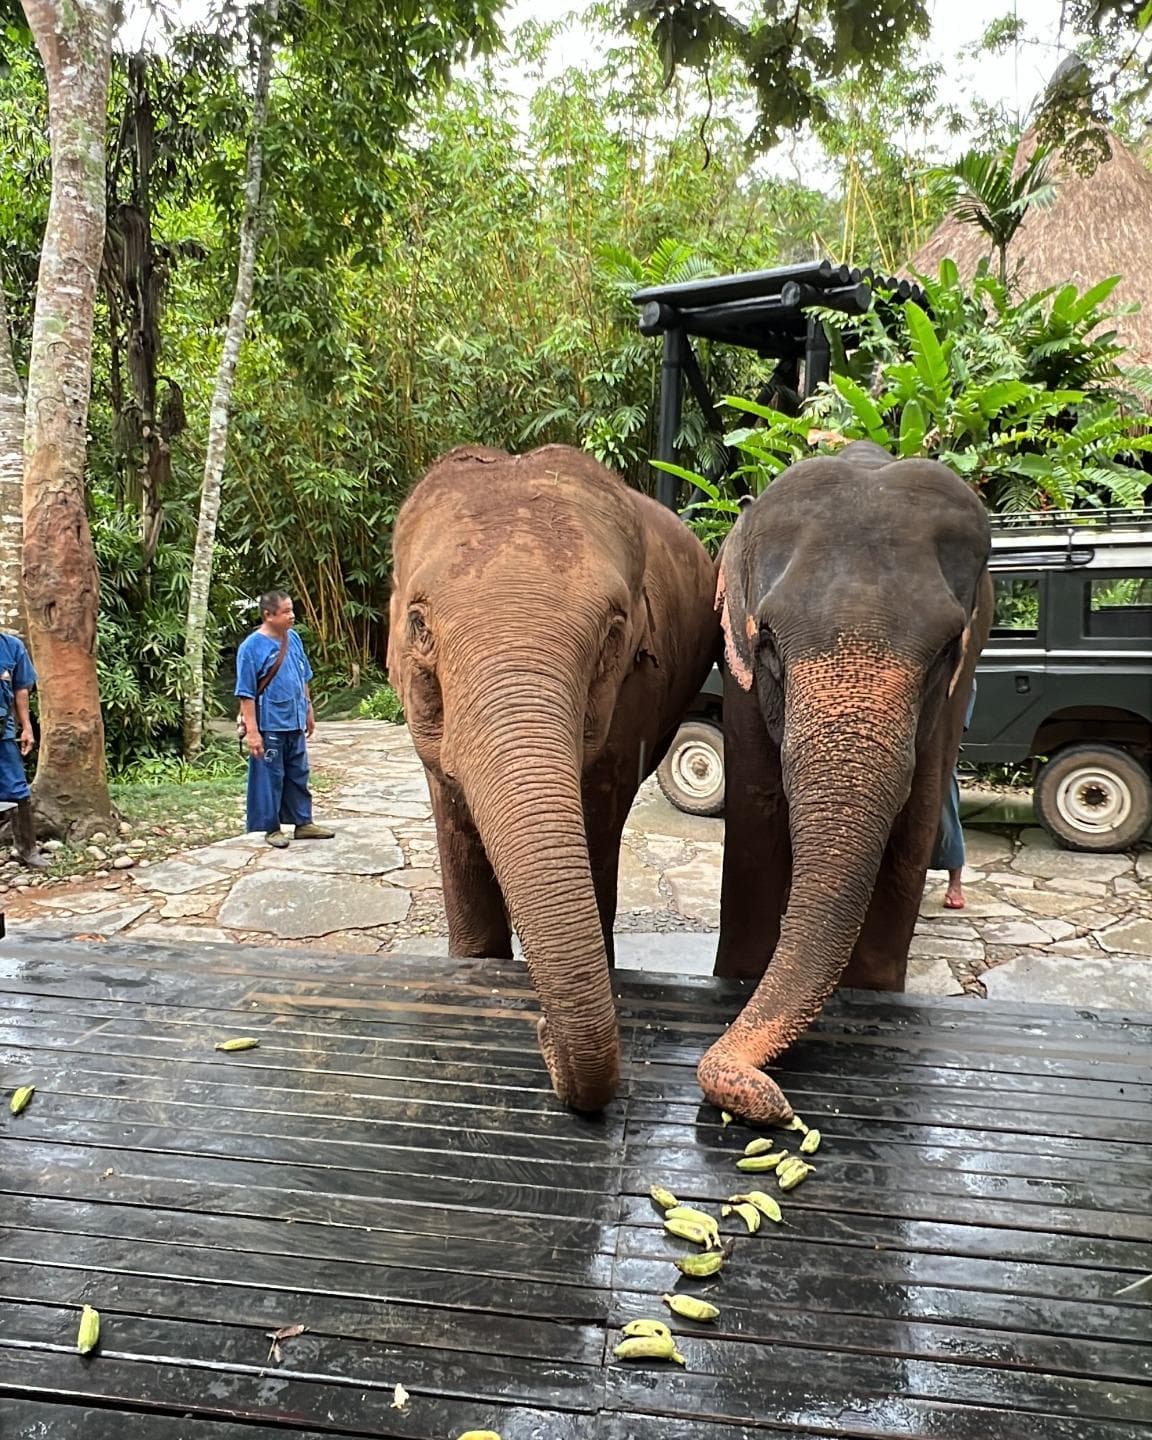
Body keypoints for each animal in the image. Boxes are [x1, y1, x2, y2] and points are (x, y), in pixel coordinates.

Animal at [387, 444, 719, 1113]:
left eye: (613, 636)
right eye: (419, 625)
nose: (542, 1035)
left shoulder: (633, 701)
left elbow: (599, 821)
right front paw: (480, 964)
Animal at [701, 441, 992, 1123]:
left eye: (946, 650)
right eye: (767, 643)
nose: (775, 1103)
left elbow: (910, 834)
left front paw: (875, 992)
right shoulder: (739, 682)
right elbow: (755, 819)